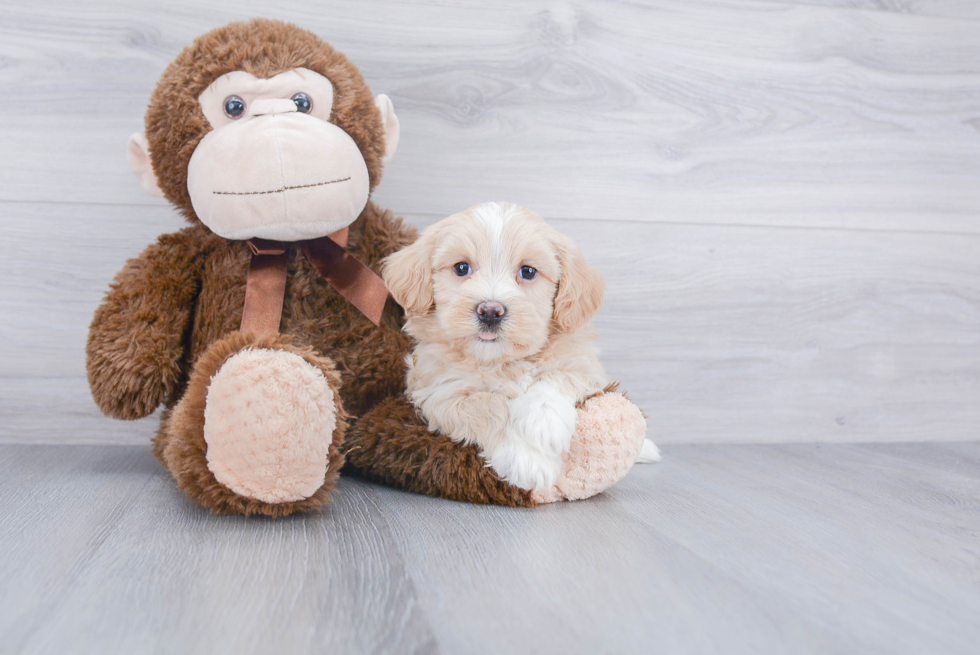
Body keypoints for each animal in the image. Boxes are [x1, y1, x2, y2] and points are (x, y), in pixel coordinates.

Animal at [384, 202, 660, 490]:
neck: (502, 362)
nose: (490, 311)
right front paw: (526, 459)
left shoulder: (585, 366)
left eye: (528, 271)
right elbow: (487, 407)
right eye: (461, 268)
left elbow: (556, 376)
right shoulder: (440, 391)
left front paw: (543, 422)